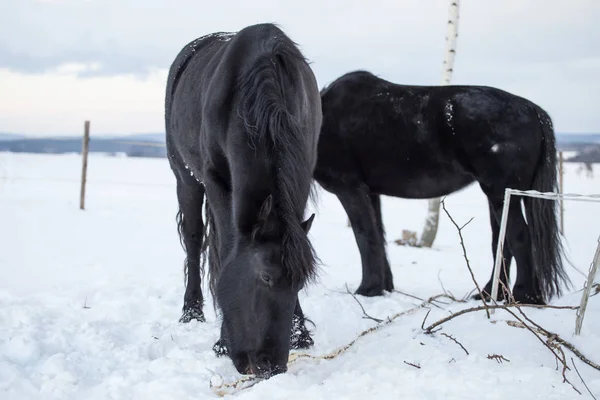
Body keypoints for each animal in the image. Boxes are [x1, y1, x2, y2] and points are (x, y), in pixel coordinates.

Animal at [164, 23, 322, 376]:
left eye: (300, 284)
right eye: (264, 276)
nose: (270, 366)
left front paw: (300, 334)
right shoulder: (216, 182)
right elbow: (224, 251)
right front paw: (223, 342)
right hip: (185, 178)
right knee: (194, 239)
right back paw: (191, 312)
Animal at [316, 71, 568, 304]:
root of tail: (533, 110)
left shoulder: (350, 189)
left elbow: (364, 236)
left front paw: (368, 290)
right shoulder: (370, 193)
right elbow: (378, 235)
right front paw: (385, 287)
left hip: (500, 193)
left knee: (519, 237)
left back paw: (524, 296)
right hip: (501, 197)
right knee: (502, 240)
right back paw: (489, 294)